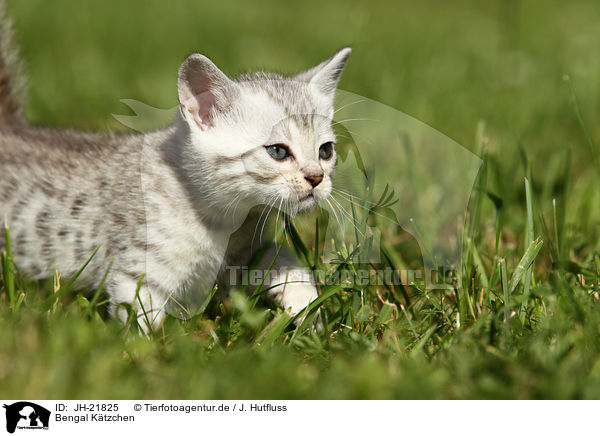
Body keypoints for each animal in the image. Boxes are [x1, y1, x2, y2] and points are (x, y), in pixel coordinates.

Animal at [0, 5, 352, 328]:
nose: (316, 178)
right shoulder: (140, 275)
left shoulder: (244, 256)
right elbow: (139, 326)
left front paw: (309, 313)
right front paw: (152, 350)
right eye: (278, 151)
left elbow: (286, 262)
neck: (227, 219)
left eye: (326, 150)